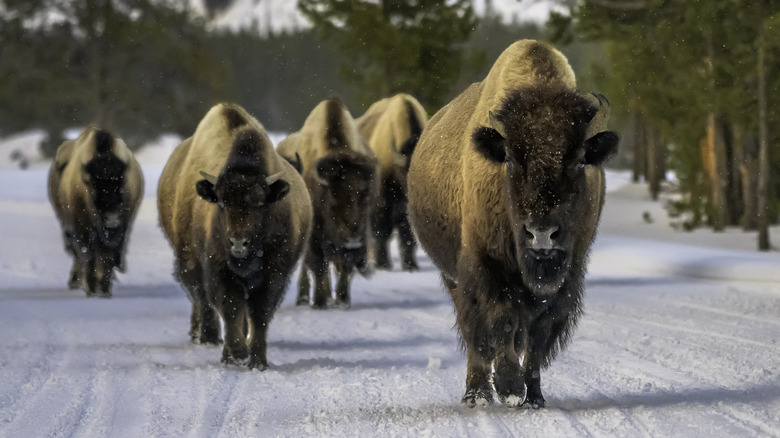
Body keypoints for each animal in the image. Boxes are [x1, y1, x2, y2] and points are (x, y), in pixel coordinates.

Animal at [407, 40, 619, 408]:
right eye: (511, 159)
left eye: (580, 160)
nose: (542, 234)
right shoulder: (487, 267)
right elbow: (501, 321)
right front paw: (508, 389)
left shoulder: (567, 276)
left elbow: (537, 338)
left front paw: (533, 397)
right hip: (453, 278)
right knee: (474, 337)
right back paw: (477, 394)